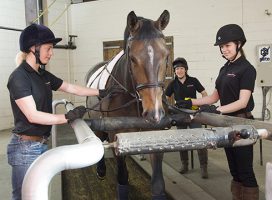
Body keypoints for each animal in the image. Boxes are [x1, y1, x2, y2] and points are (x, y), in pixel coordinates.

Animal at [85, 10, 170, 199]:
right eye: (132, 58)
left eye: (166, 55)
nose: (154, 113)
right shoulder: (115, 135)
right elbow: (122, 177)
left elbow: (158, 184)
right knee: (99, 138)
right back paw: (101, 170)